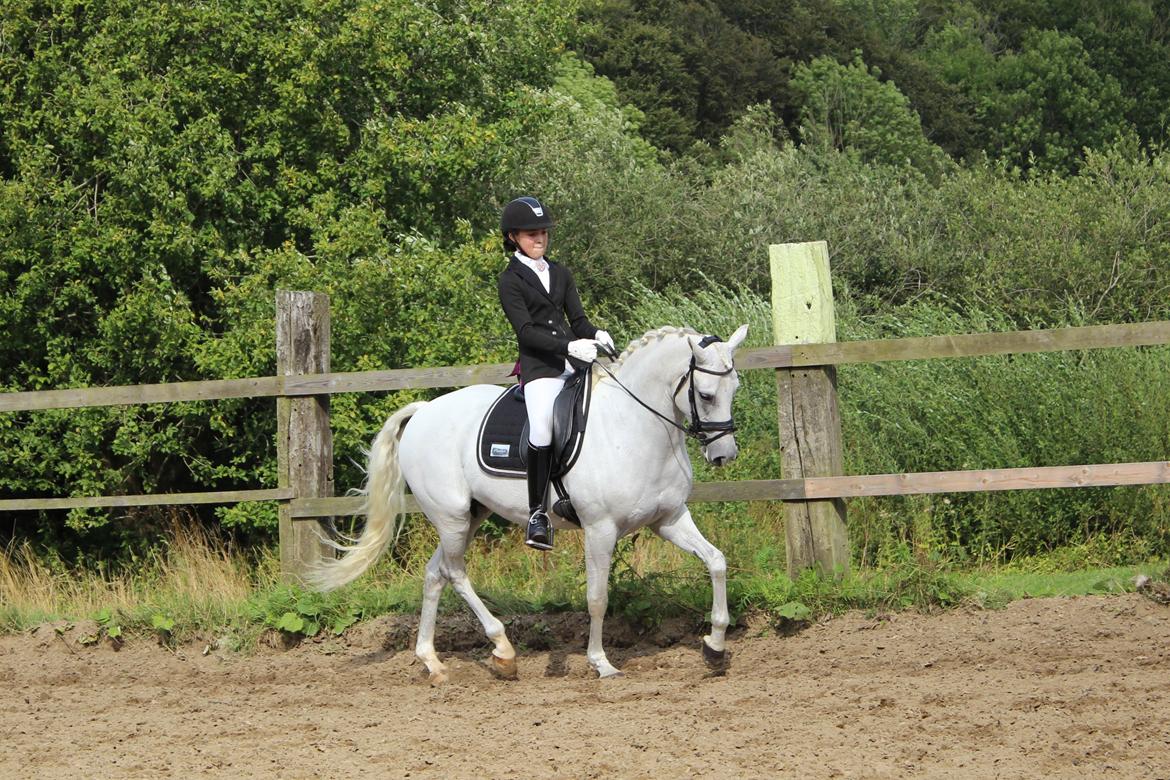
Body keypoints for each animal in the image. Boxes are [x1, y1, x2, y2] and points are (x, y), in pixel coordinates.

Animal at [308, 324, 749, 681]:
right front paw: (601, 663)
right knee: (454, 572)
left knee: (435, 574)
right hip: (451, 516)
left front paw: (714, 646)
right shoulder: (600, 529)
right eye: (706, 394)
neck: (634, 427)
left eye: (736, 389)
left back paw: (432, 662)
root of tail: (425, 411)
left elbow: (716, 561)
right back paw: (502, 650)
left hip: (470, 515)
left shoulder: (669, 519)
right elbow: (597, 598)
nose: (724, 455)